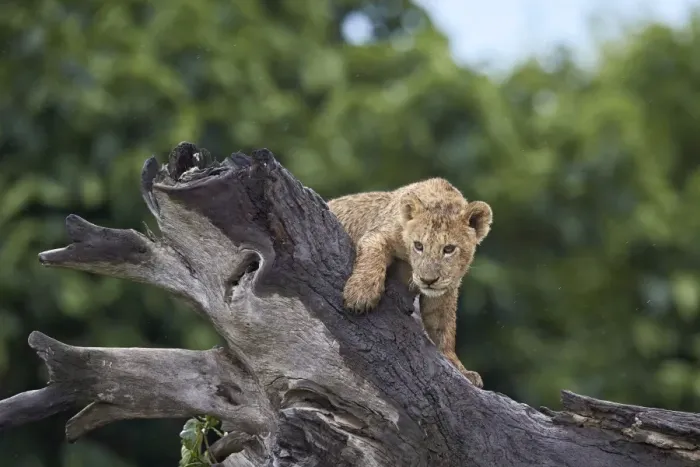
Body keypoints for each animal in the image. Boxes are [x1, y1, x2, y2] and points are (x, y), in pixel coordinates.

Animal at [327, 178, 492, 387]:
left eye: (448, 249)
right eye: (418, 246)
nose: (428, 280)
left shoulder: (446, 288)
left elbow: (443, 326)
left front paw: (459, 368)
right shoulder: (379, 233)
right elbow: (373, 254)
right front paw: (360, 294)